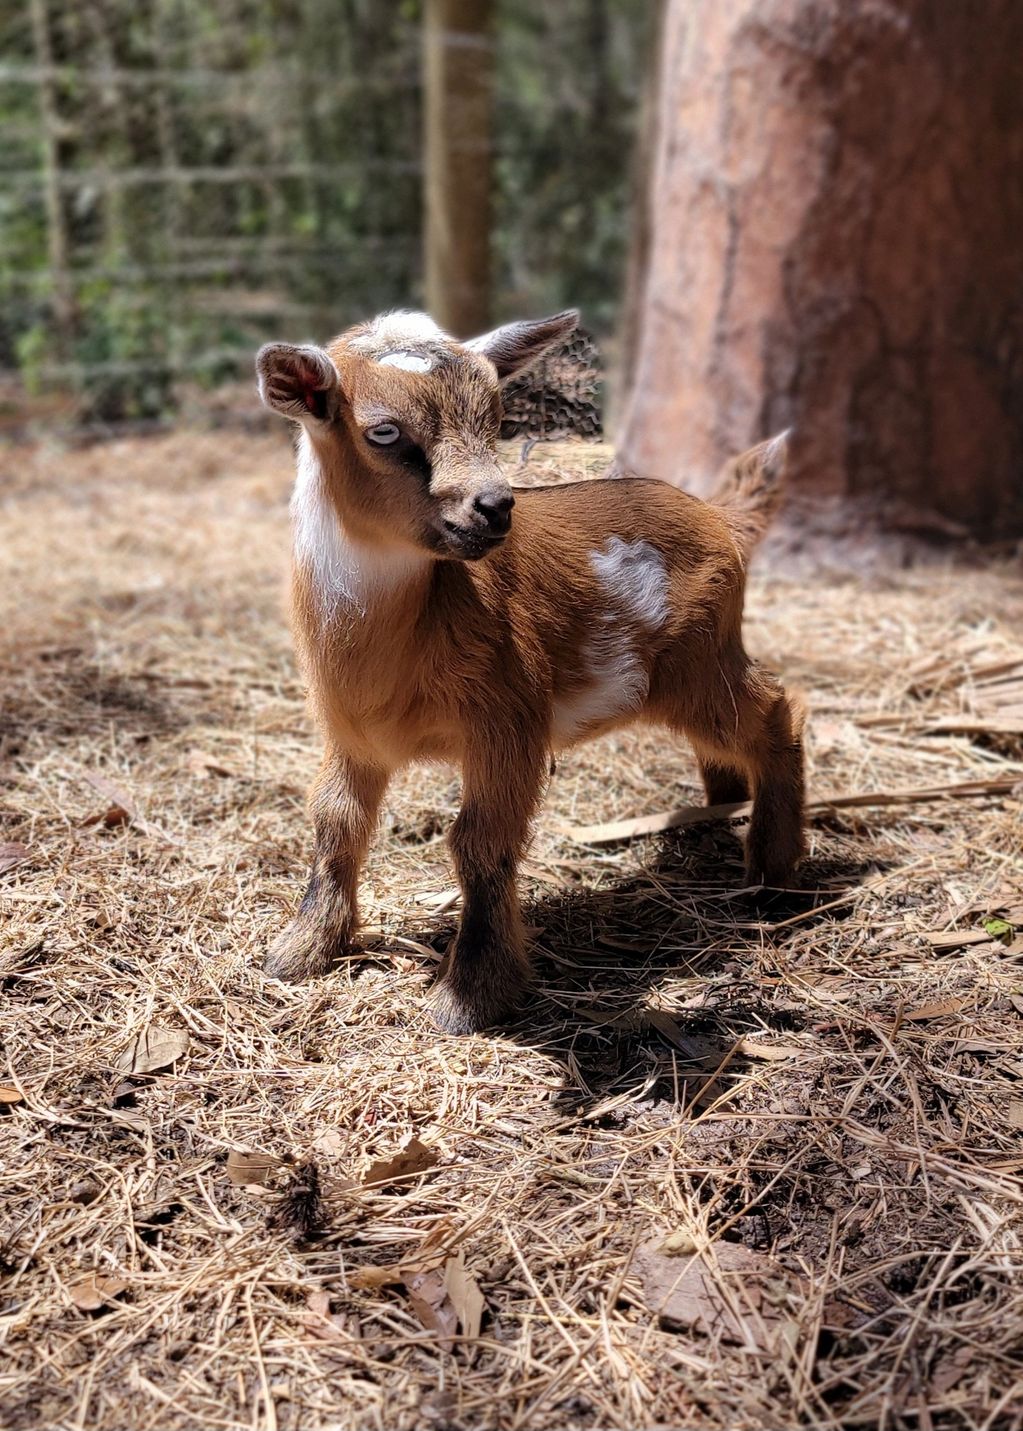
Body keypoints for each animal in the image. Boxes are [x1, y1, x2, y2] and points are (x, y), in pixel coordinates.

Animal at [256, 309, 805, 1033]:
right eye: (384, 431)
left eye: (496, 417)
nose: (495, 506)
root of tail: (720, 517)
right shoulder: (349, 733)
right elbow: (334, 821)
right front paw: (302, 948)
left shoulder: (509, 715)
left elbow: (478, 842)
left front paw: (471, 993)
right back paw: (717, 819)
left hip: (703, 661)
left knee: (777, 712)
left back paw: (772, 874)